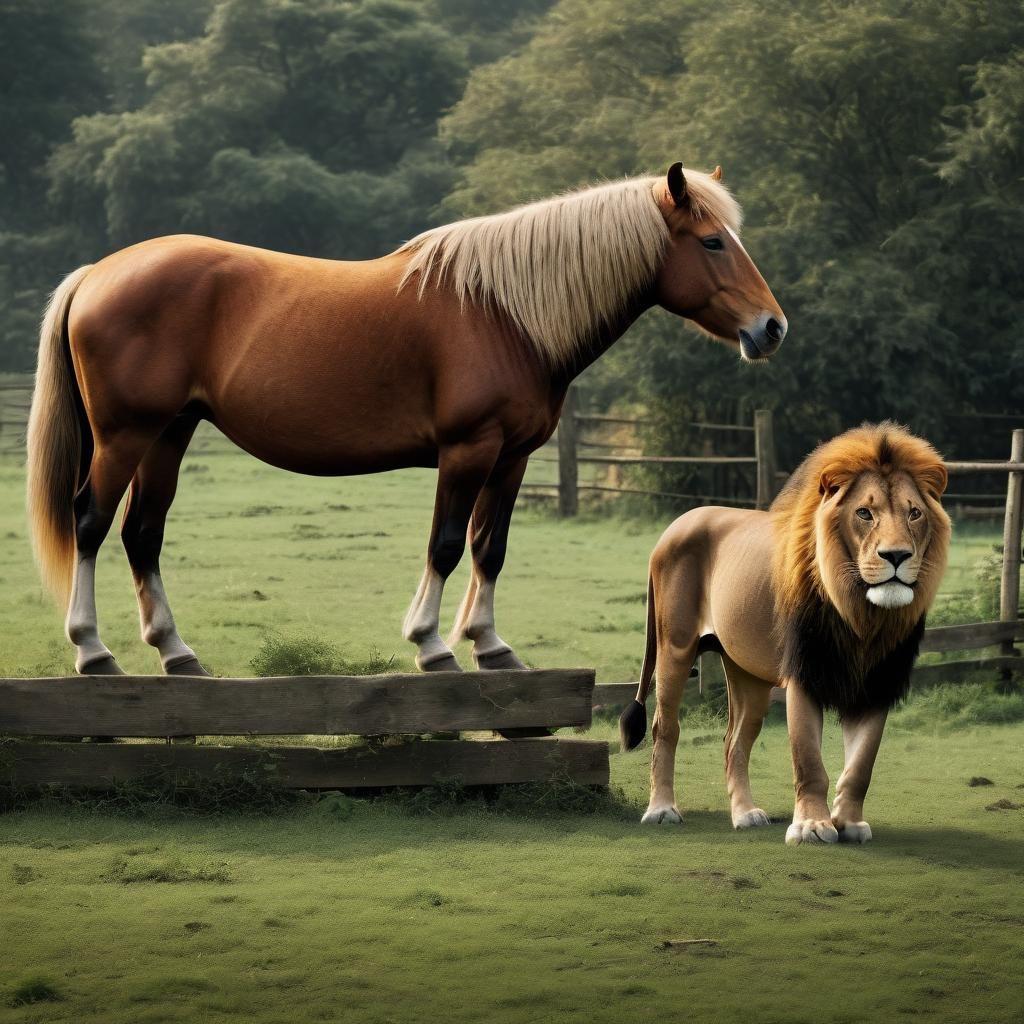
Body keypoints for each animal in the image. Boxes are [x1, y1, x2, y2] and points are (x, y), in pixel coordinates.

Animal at [27, 163, 786, 677]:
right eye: (713, 242)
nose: (771, 328)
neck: (505, 314)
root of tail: (98, 273)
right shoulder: (467, 450)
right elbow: (446, 544)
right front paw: (431, 644)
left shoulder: (512, 456)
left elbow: (489, 547)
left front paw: (490, 644)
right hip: (126, 434)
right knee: (90, 520)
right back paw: (92, 650)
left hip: (170, 432)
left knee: (142, 532)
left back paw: (176, 651)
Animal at [619, 422, 950, 844]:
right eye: (864, 513)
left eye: (914, 513)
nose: (896, 556)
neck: (862, 616)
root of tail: (673, 527)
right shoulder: (805, 674)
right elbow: (808, 761)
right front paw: (812, 826)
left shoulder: (877, 684)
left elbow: (860, 767)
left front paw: (850, 823)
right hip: (674, 647)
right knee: (666, 728)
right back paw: (661, 810)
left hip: (747, 672)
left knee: (734, 742)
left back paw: (745, 815)